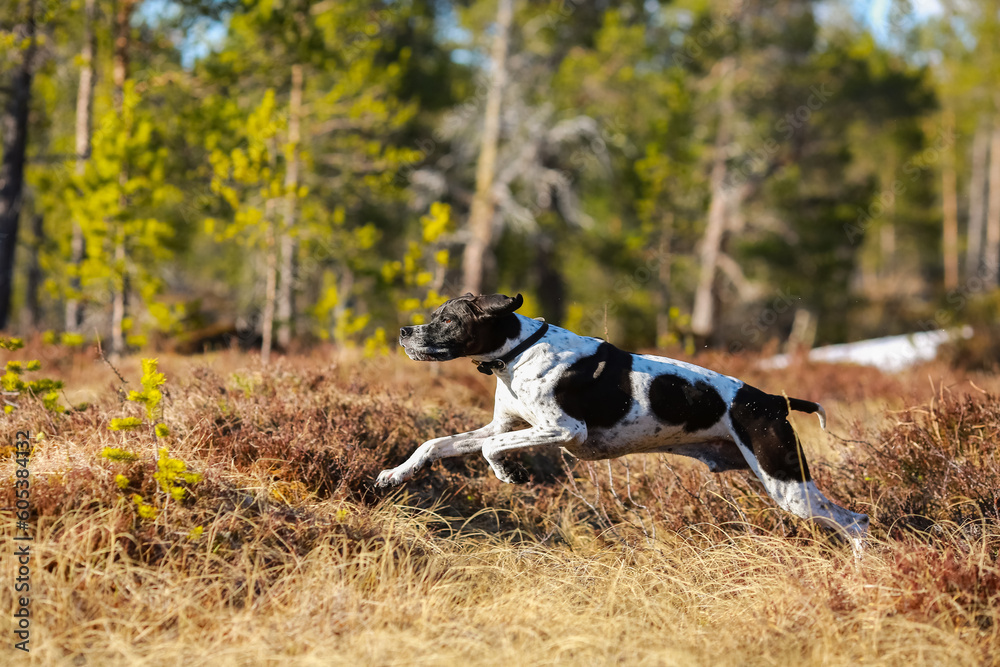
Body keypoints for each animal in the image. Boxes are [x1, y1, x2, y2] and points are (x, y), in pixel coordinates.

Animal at [376, 294, 868, 544]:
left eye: (446, 320)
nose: (403, 331)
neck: (518, 352)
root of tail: (770, 399)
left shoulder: (562, 429)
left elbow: (490, 449)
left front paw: (506, 472)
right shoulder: (506, 426)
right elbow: (435, 444)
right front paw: (394, 475)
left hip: (787, 484)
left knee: (855, 522)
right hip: (772, 477)